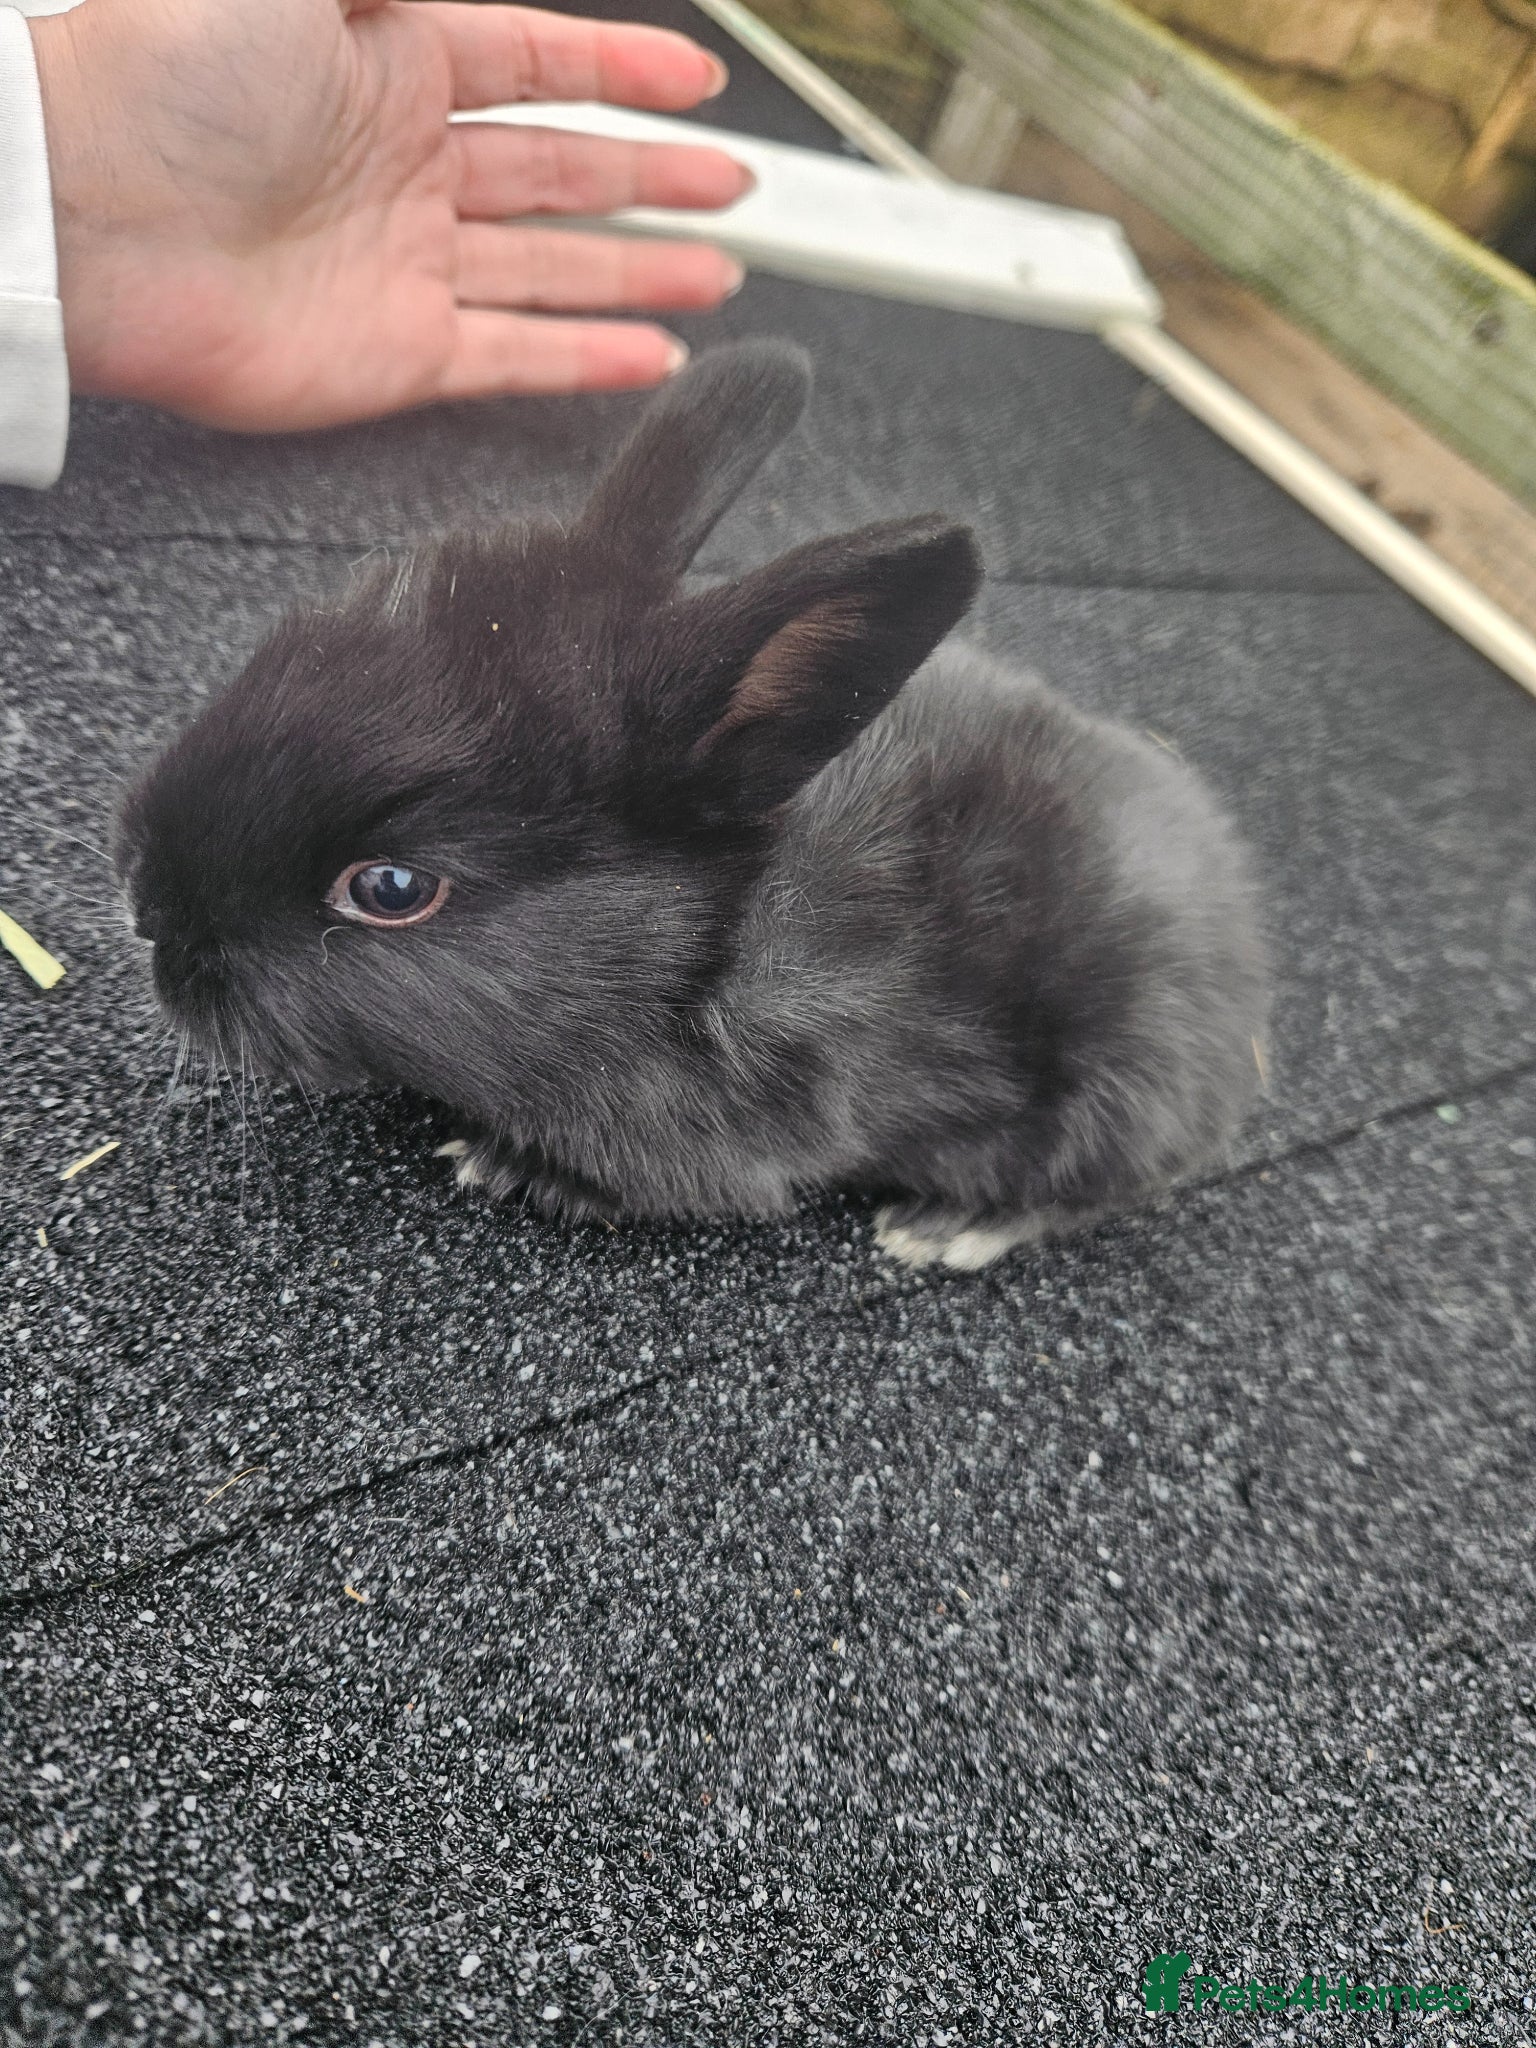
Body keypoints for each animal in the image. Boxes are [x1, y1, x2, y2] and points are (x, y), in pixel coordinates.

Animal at [116, 339, 1267, 1269]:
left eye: (391, 888)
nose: (145, 904)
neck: (705, 947)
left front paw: (501, 1164)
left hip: (1116, 1094)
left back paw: (942, 1229)